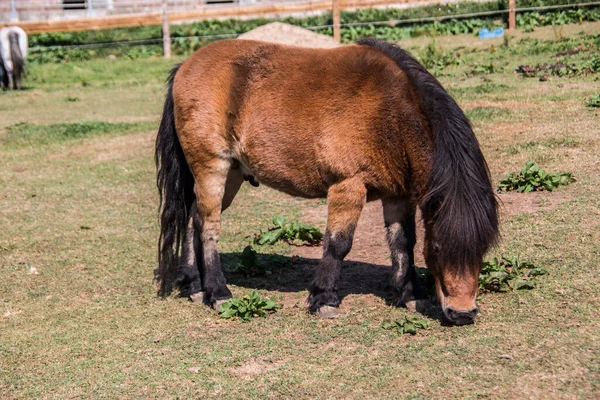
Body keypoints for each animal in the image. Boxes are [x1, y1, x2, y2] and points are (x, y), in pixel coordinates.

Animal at [155, 37, 496, 324]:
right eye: (437, 247)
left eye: (482, 249)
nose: (462, 313)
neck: (389, 111)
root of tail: (185, 66)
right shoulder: (349, 185)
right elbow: (338, 243)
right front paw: (324, 298)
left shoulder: (397, 195)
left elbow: (403, 242)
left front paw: (409, 294)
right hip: (212, 167)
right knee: (208, 226)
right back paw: (217, 292)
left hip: (232, 175)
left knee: (193, 218)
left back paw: (193, 285)